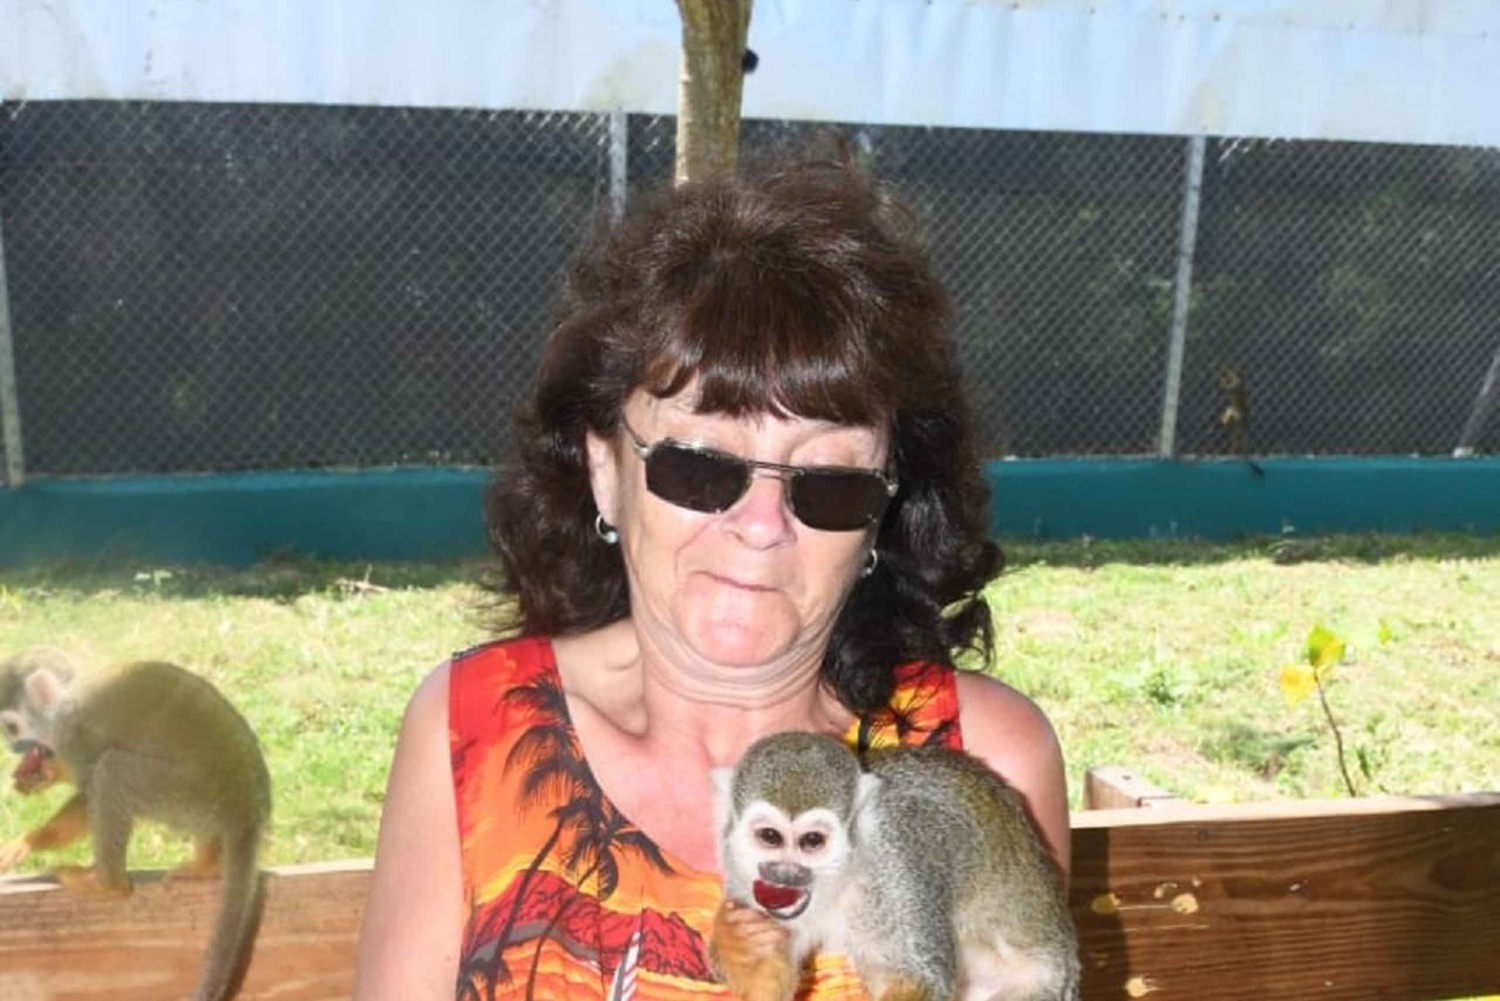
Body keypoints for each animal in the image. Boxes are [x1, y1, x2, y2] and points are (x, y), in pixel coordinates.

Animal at [0, 648, 272, 1001]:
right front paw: (37, 774)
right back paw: (206, 865)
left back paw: (109, 885)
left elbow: (88, 793)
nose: (12, 747)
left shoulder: (72, 733)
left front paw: (32, 839)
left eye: (11, 727)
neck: (66, 699)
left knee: (111, 771)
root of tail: (249, 804)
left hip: (187, 791)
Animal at [709, 732, 1080, 1001]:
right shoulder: (743, 875)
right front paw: (742, 945)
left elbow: (917, 978)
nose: (784, 875)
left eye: (812, 841)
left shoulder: (897, 867)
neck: (841, 877)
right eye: (770, 837)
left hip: (1041, 986)